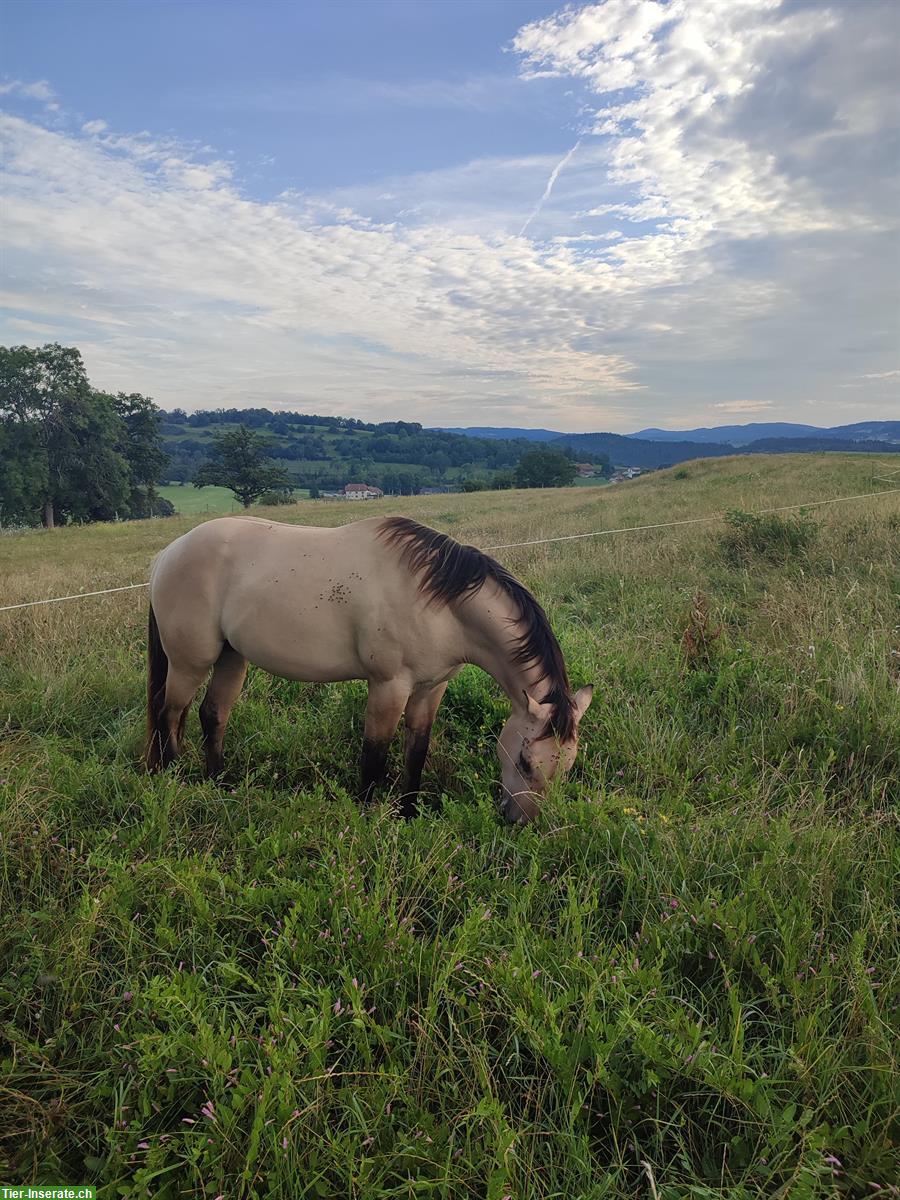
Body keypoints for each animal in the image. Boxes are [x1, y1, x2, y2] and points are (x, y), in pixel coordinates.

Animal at [145, 516, 595, 825]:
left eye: (567, 767)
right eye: (524, 761)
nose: (520, 822)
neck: (441, 603)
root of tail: (168, 554)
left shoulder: (431, 688)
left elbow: (416, 751)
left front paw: (408, 813)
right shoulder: (388, 687)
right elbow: (374, 756)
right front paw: (365, 816)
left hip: (231, 657)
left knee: (211, 714)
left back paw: (219, 783)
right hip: (190, 662)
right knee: (168, 714)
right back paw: (172, 777)